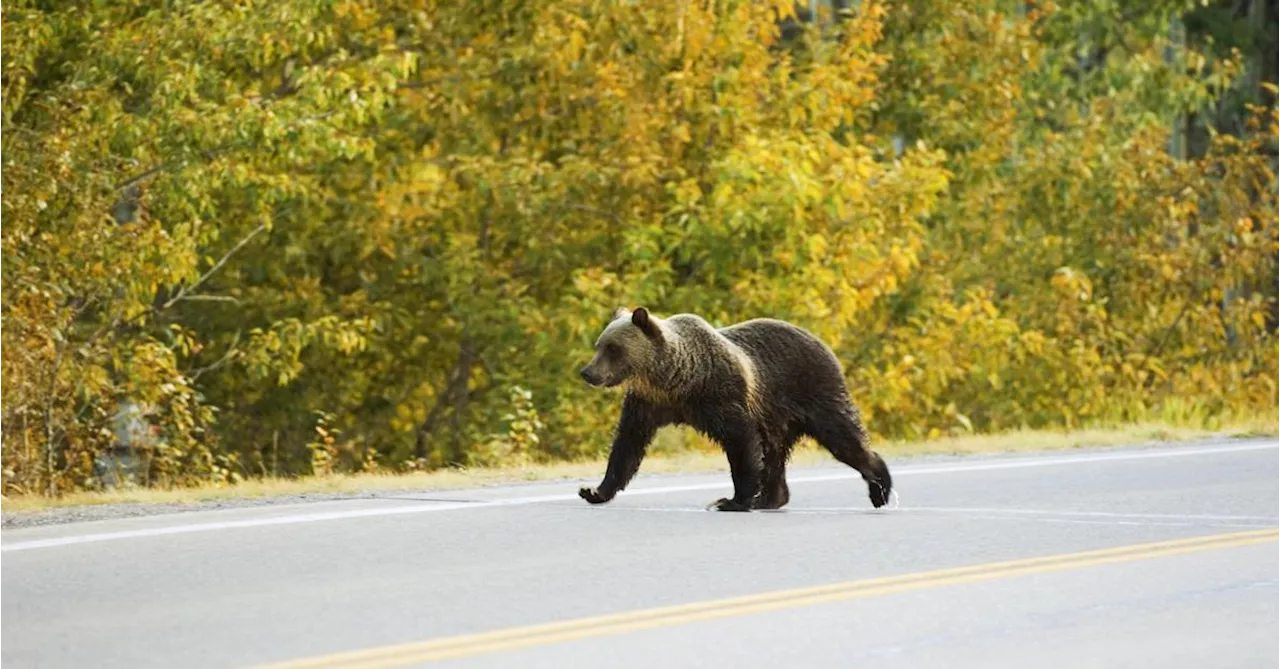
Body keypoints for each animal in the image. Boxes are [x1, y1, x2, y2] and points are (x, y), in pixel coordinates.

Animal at [581, 309, 890, 514]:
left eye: (613, 348)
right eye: (599, 345)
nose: (587, 372)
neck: (674, 379)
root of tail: (823, 343)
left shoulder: (720, 395)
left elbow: (741, 441)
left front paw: (731, 500)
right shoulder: (648, 403)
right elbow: (628, 444)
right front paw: (594, 491)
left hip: (812, 391)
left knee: (842, 437)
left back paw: (880, 487)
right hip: (777, 417)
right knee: (776, 455)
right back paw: (770, 499)